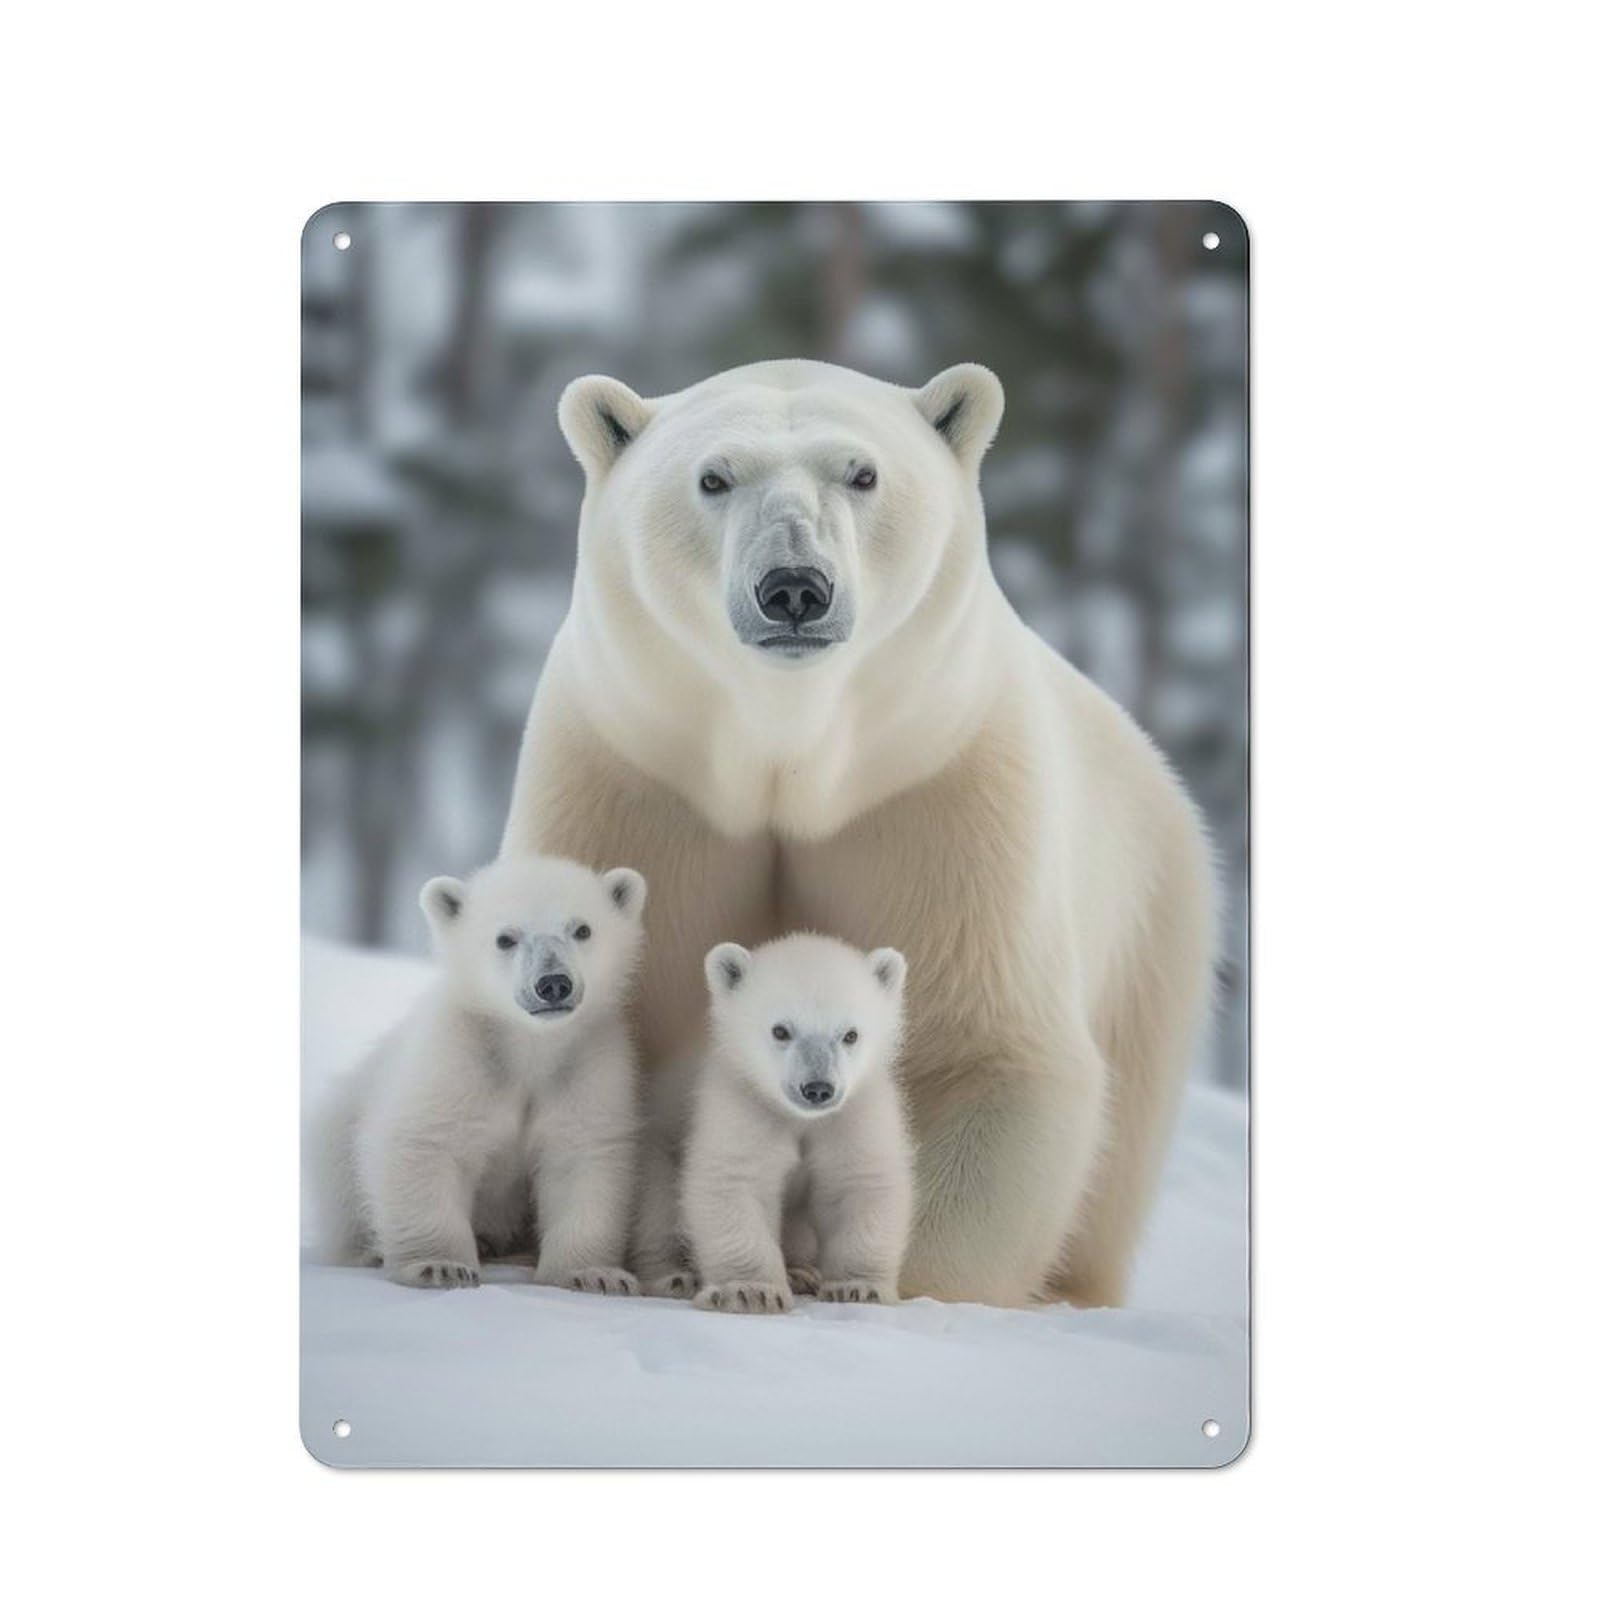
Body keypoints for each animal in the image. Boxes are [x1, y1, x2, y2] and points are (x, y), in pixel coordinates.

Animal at [307, 854, 647, 1294]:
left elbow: (580, 1157)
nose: (553, 984)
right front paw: (440, 1266)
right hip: (341, 1120)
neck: (528, 1048)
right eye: (505, 938)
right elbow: (426, 1141)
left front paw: (593, 1275)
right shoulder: (458, 1059)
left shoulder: (585, 1065)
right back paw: (368, 1250)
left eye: (582, 928)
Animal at [667, 934, 914, 1315]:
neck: (801, 1118)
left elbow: (860, 1181)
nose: (818, 1088)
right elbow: (735, 1182)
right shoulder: (744, 1105)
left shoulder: (851, 1116)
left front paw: (858, 1287)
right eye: (780, 1030)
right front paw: (750, 1291)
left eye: (851, 1034)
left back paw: (801, 1273)